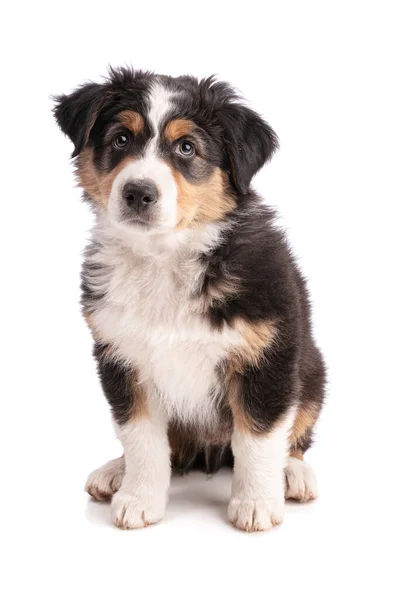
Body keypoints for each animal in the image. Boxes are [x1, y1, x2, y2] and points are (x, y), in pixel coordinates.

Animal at [54, 68, 326, 532]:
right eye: (121, 139)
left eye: (186, 148)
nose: (138, 193)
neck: (165, 258)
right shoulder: (121, 358)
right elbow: (141, 437)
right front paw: (139, 497)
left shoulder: (267, 356)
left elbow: (258, 435)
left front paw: (256, 502)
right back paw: (115, 471)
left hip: (311, 370)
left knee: (294, 431)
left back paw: (293, 474)